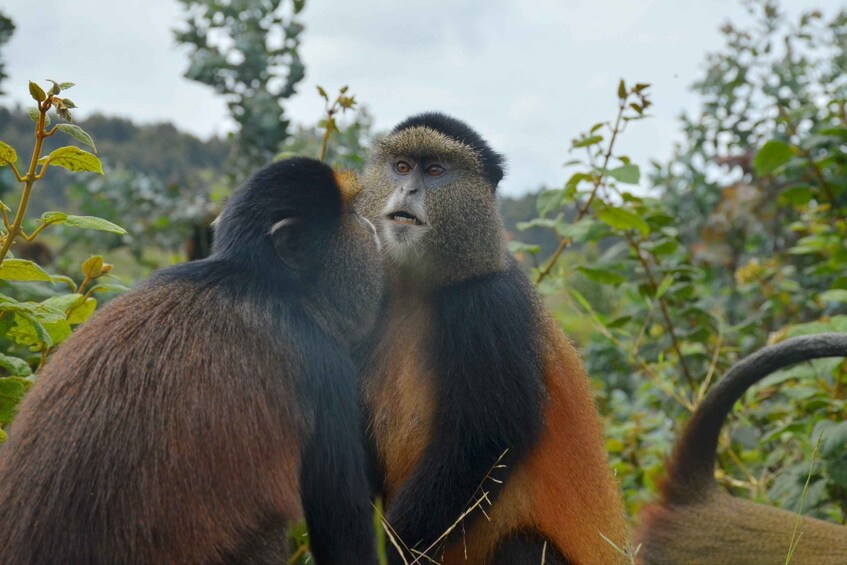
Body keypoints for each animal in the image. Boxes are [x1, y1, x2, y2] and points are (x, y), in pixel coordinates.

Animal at [356, 112, 630, 565]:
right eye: (401, 166)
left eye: (436, 171)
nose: (408, 189)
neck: (420, 285)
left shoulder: (490, 306)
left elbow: (486, 440)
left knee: (521, 548)